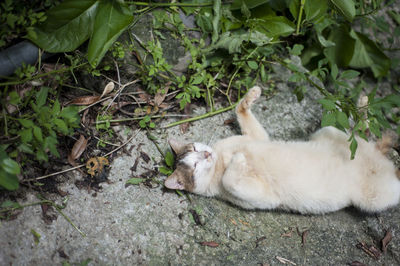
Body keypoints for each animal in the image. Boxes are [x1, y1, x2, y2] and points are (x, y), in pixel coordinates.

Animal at [165, 87, 400, 214]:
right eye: (195, 165)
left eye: (196, 148)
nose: (206, 154)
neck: (220, 159)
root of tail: (378, 156)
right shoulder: (264, 198)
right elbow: (229, 179)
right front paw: (239, 160)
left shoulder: (258, 138)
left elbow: (240, 110)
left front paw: (250, 97)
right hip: (374, 200)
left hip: (329, 132)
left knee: (360, 132)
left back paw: (362, 105)